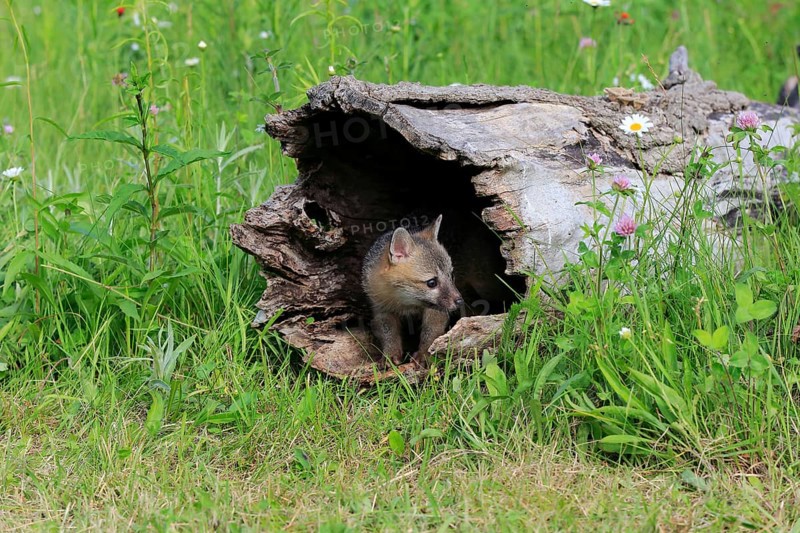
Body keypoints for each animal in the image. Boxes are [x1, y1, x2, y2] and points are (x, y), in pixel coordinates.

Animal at [362, 214, 463, 366]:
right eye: (432, 283)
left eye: (451, 275)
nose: (460, 301)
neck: (406, 304)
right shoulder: (381, 309)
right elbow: (388, 333)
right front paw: (390, 355)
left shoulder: (436, 311)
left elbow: (431, 333)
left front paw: (424, 354)